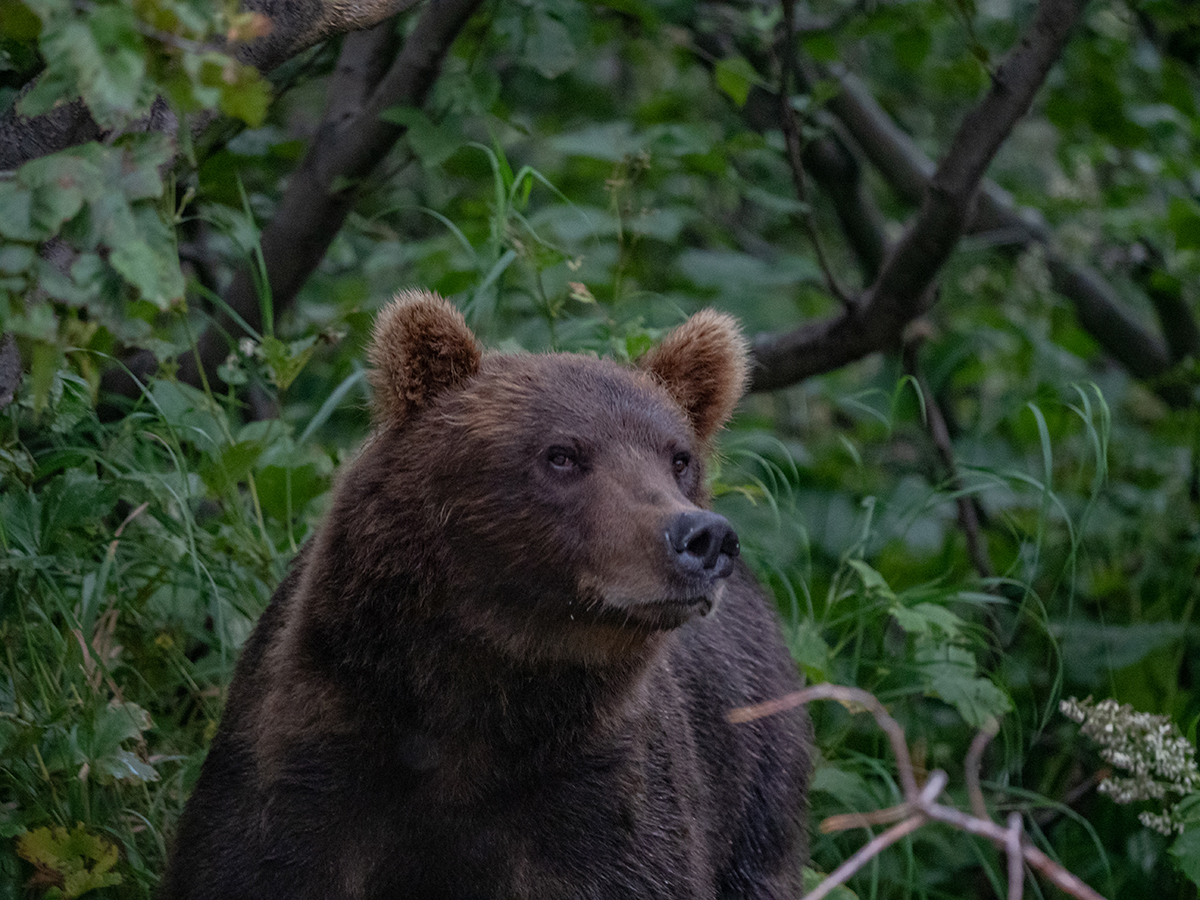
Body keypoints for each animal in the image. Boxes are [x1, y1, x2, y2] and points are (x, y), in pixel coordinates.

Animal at [159, 294, 811, 900]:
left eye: (678, 458)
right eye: (562, 453)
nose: (705, 537)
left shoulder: (598, 799)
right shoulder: (309, 759)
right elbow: (256, 859)